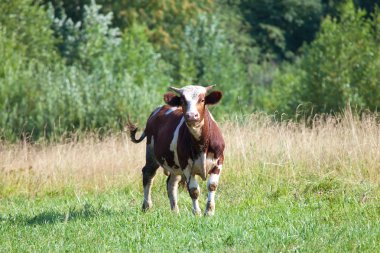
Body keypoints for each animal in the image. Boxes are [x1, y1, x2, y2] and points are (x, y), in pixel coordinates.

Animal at [127, 85, 224, 215]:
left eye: (202, 100)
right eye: (182, 101)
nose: (191, 115)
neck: (201, 144)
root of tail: (160, 108)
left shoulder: (219, 161)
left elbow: (212, 185)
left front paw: (209, 212)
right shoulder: (186, 165)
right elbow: (194, 190)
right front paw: (197, 212)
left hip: (174, 165)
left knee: (171, 182)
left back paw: (175, 210)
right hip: (151, 153)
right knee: (148, 174)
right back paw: (146, 206)